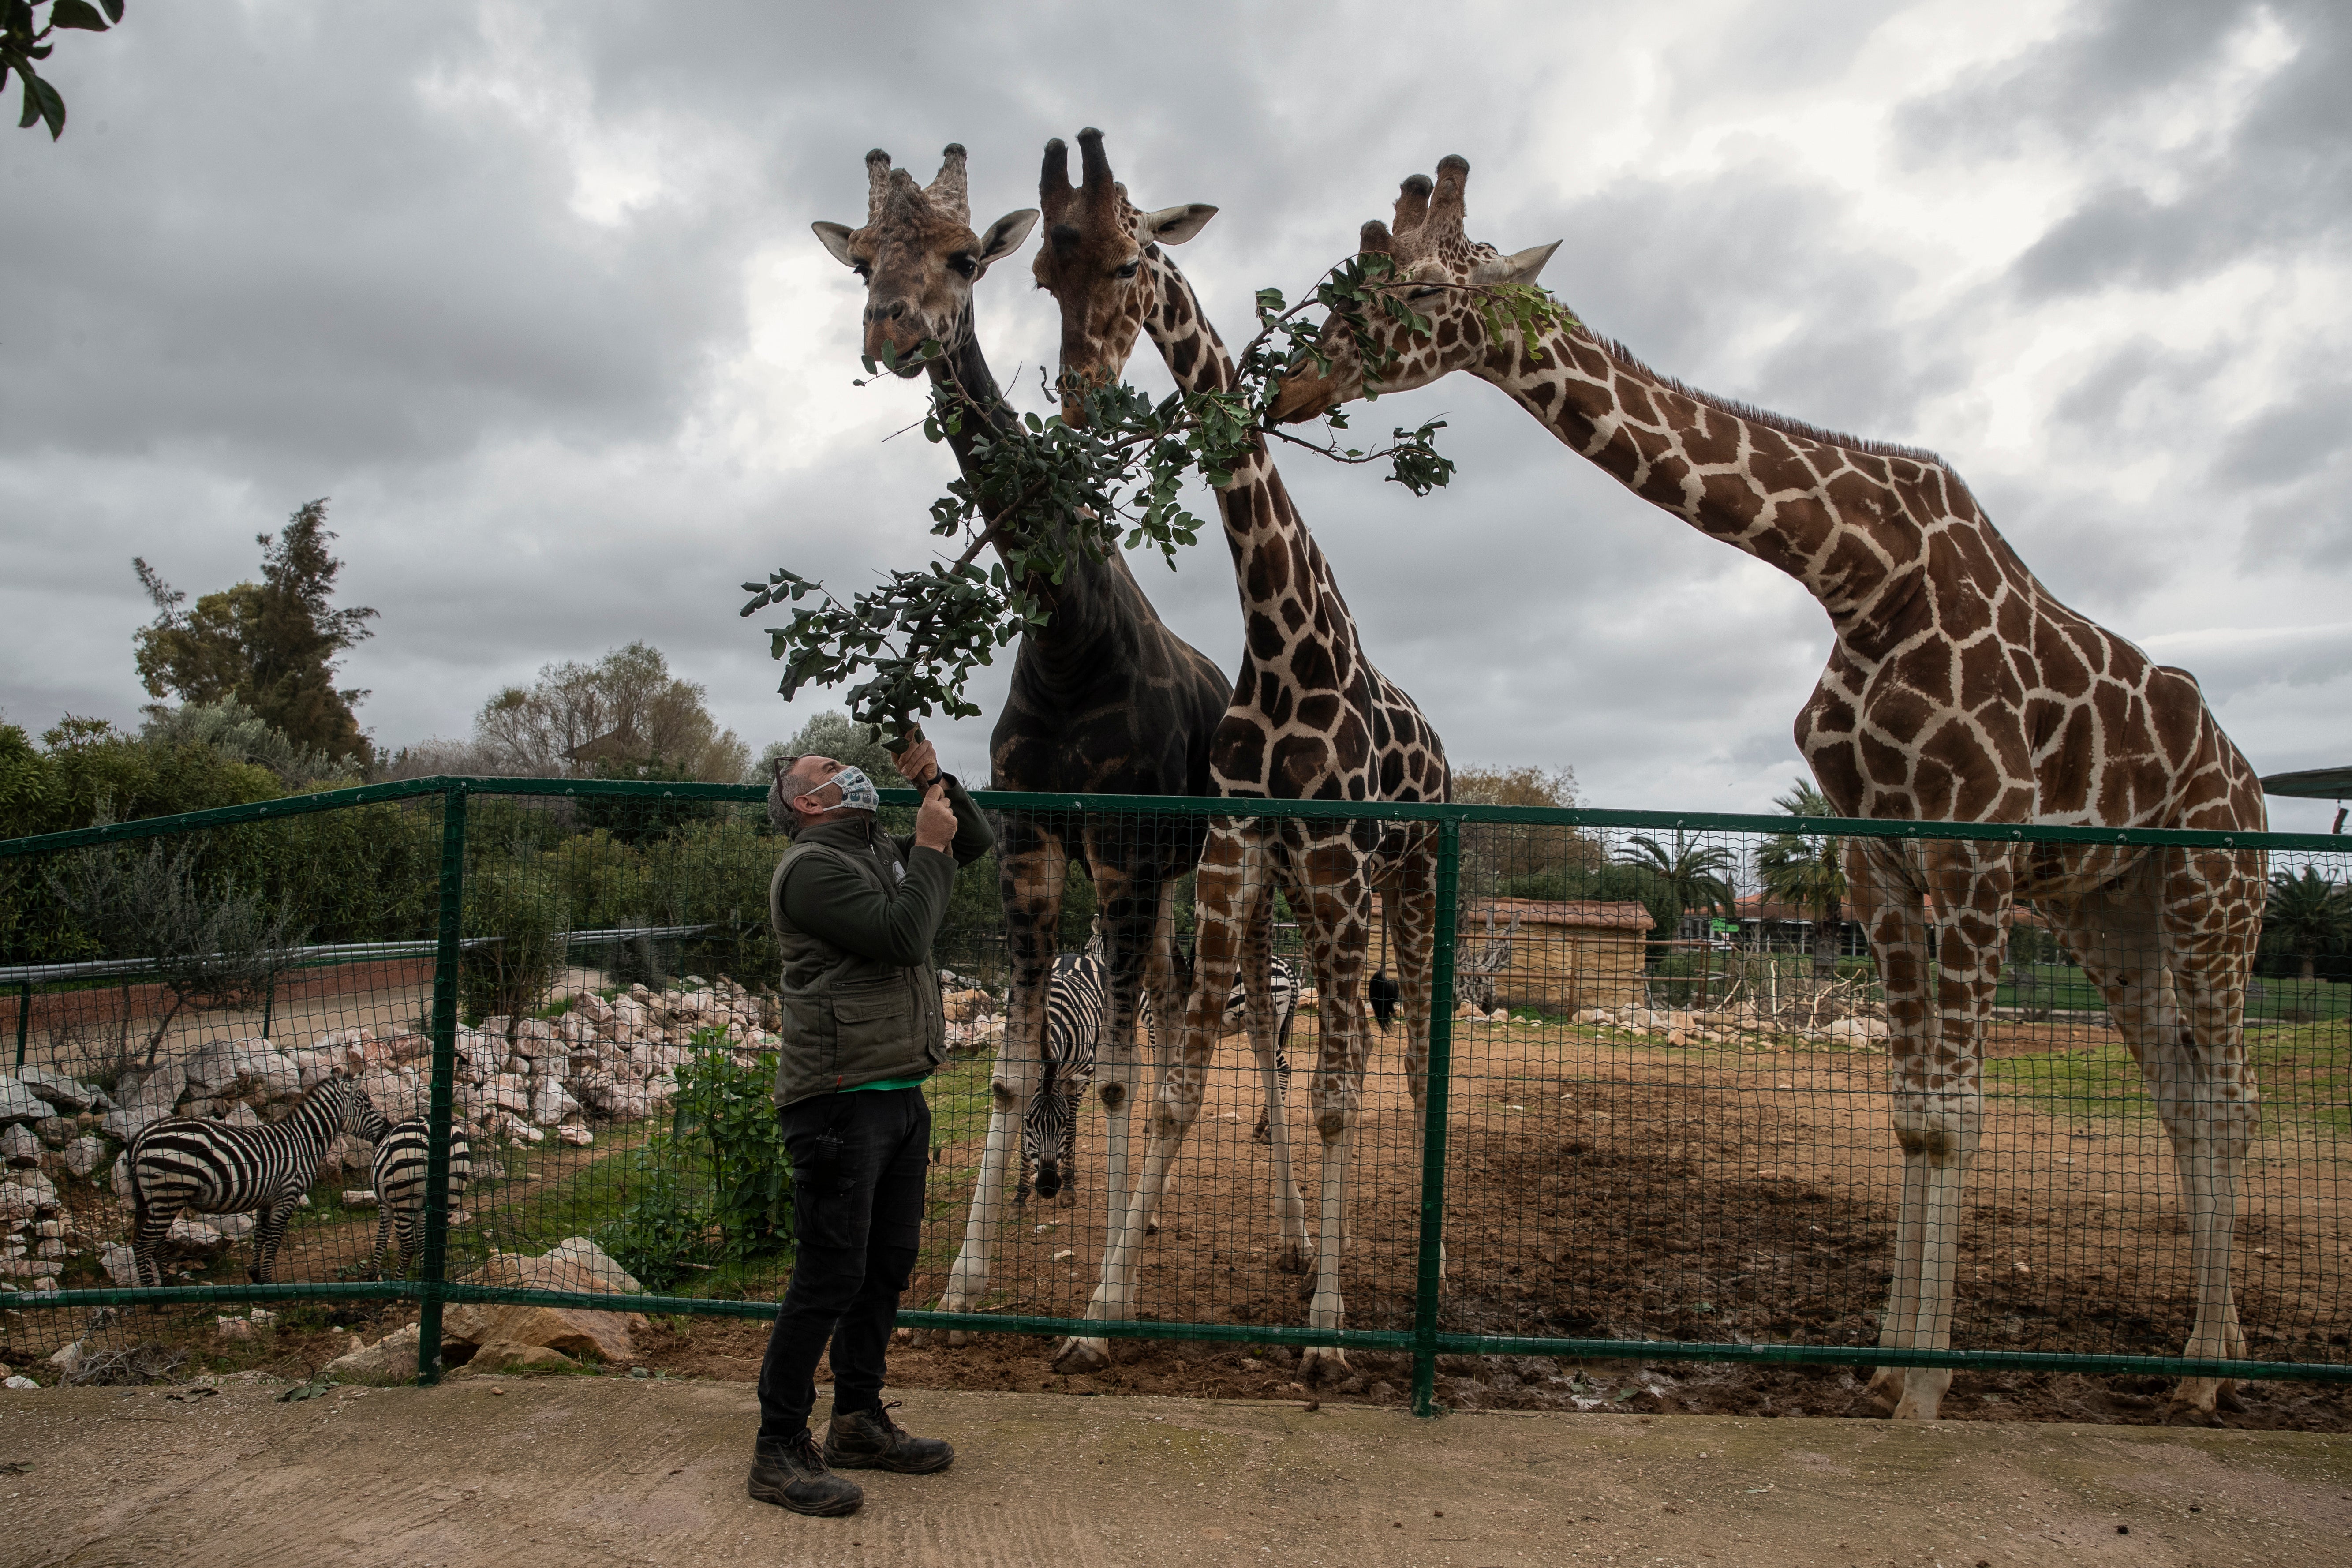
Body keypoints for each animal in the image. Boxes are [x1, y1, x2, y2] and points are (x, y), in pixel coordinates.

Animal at [129, 1081, 388, 1288]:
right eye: (367, 1105)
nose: (387, 1128)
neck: (302, 1143)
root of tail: (141, 1136)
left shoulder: (267, 1199)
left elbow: (261, 1235)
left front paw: (255, 1275)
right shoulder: (287, 1195)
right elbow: (274, 1238)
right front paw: (267, 1280)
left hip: (157, 1200)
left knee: (152, 1243)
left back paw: (166, 1286)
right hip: (168, 1195)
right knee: (143, 1244)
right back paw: (154, 1296)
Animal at [364, 1114, 470, 1279]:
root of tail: (428, 1128)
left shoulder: (384, 1203)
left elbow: (382, 1237)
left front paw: (373, 1274)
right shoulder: (423, 1209)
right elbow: (422, 1241)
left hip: (403, 1197)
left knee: (407, 1247)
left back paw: (399, 1281)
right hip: (452, 1190)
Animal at [814, 147, 1232, 1335]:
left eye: (966, 258)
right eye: (861, 259)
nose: (892, 329)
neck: (1068, 639)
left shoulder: (1124, 848)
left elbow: (1110, 1074)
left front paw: (1104, 1304)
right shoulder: (1037, 843)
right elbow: (1008, 1071)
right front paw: (962, 1277)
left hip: (1218, 866)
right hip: (1159, 880)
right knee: (1176, 1008)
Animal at [1035, 135, 1449, 1382]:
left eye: (1129, 260)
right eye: (1042, 270)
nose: (1078, 393)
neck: (1279, 642)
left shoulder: (1339, 871)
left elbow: (1334, 1096)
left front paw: (1326, 1329)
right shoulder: (1230, 865)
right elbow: (1176, 1091)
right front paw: (1100, 1311)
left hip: (1406, 884)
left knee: (1400, 1058)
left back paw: (1398, 1259)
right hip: (1295, 901)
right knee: (1298, 1050)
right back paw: (1300, 1239)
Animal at [1270, 156, 2277, 1420]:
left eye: (1413, 289)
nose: (1291, 381)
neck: (1857, 574)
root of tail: (2249, 787)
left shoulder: (1973, 849)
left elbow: (1957, 1115)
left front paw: (1924, 1394)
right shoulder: (1878, 858)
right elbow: (1910, 1116)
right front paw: (1885, 1361)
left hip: (2207, 900)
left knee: (2231, 1101)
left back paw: (2202, 1371)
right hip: (2110, 918)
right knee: (2184, 1099)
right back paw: (2208, 1352)